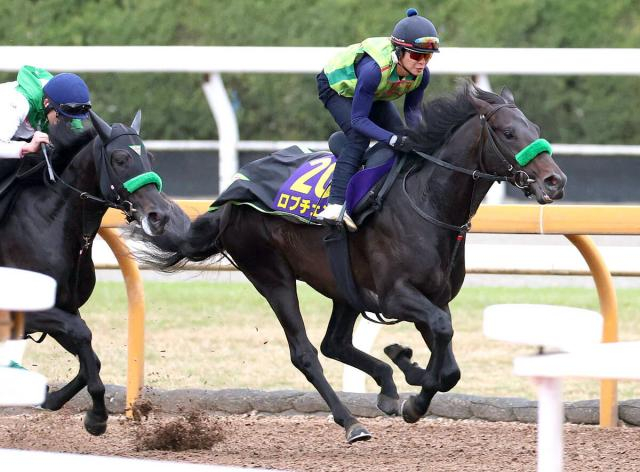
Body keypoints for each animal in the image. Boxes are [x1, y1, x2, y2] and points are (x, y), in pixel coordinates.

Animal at [0, 110, 172, 435]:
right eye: (120, 158)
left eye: (151, 157)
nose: (161, 216)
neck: (51, 224)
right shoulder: (23, 309)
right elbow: (83, 334)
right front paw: (98, 416)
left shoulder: (65, 309)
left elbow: (89, 353)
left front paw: (53, 398)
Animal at [138, 82, 567, 443]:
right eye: (508, 133)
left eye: (534, 127)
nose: (555, 181)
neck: (427, 200)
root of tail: (228, 200)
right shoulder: (396, 296)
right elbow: (443, 340)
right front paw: (413, 398)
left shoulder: (434, 297)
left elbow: (449, 366)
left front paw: (407, 371)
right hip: (272, 275)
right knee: (306, 353)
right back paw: (352, 422)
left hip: (342, 285)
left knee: (335, 343)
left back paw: (389, 385)